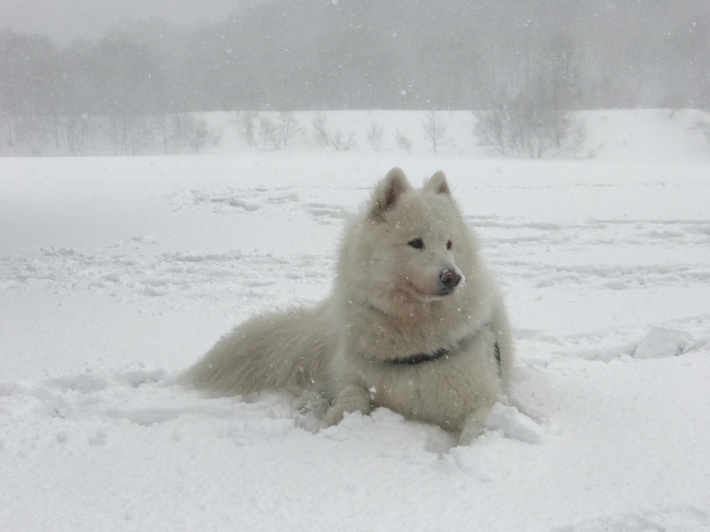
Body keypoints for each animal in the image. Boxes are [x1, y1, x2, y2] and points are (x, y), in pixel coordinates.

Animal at [177, 167, 512, 444]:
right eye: (416, 243)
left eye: (449, 244)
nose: (452, 277)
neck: (413, 332)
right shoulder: (358, 378)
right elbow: (353, 394)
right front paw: (334, 422)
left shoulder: (482, 398)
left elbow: (477, 428)